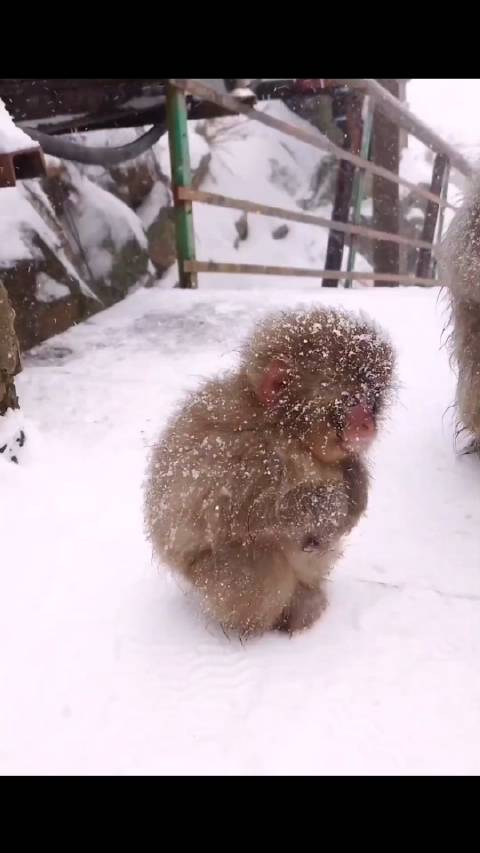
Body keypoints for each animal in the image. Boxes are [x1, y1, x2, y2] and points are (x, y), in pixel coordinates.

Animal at [143, 304, 394, 632]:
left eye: (372, 400)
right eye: (350, 401)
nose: (368, 424)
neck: (286, 432)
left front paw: (356, 482)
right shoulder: (240, 449)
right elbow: (237, 514)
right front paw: (325, 504)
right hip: (209, 579)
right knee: (260, 563)